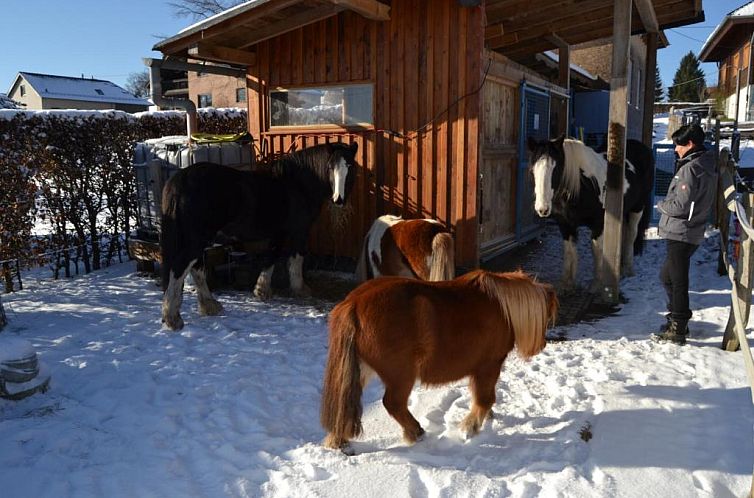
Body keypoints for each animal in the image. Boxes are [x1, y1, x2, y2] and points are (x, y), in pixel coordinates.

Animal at [159, 142, 358, 328]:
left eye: (350, 166)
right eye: (330, 167)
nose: (338, 199)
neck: (297, 185)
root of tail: (180, 179)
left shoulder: (278, 233)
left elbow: (271, 257)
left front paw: (262, 290)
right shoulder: (298, 231)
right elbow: (294, 258)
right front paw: (299, 289)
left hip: (198, 239)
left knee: (196, 268)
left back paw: (209, 306)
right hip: (198, 239)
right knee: (180, 267)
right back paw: (173, 318)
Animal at [318, 270, 560, 454]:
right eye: (548, 317)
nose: (542, 345)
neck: (502, 307)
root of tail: (353, 303)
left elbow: (483, 398)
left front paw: (486, 419)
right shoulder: (488, 366)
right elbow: (484, 399)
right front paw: (470, 427)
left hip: (361, 370)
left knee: (345, 401)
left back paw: (339, 441)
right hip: (401, 376)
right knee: (393, 403)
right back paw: (415, 432)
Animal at [524, 135, 652, 292]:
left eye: (556, 169)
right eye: (532, 170)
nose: (542, 209)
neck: (583, 186)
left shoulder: (598, 224)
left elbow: (596, 250)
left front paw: (597, 283)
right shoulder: (565, 225)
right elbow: (569, 250)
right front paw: (567, 283)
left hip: (638, 208)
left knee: (631, 235)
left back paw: (627, 269)